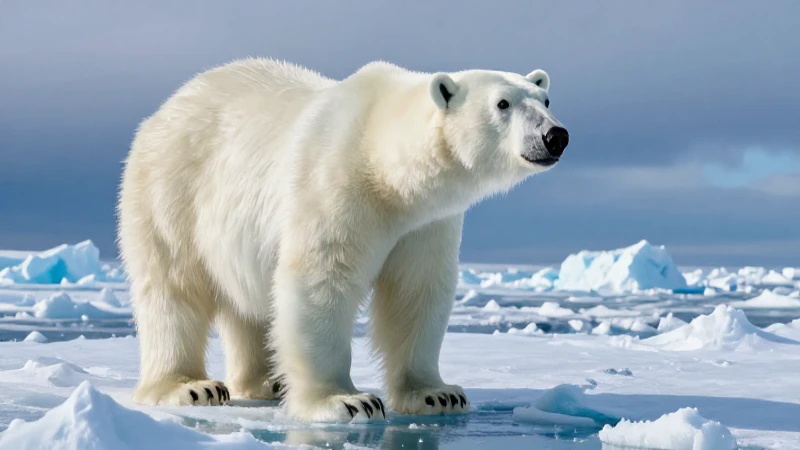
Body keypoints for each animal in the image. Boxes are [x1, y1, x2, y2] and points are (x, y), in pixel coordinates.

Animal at [117, 58, 568, 422]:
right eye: (502, 104)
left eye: (545, 100)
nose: (555, 136)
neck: (385, 166)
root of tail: (169, 105)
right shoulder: (336, 184)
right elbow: (322, 281)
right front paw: (347, 401)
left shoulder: (426, 224)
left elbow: (416, 292)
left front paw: (438, 394)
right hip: (172, 190)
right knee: (173, 287)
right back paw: (191, 386)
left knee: (251, 305)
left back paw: (268, 382)